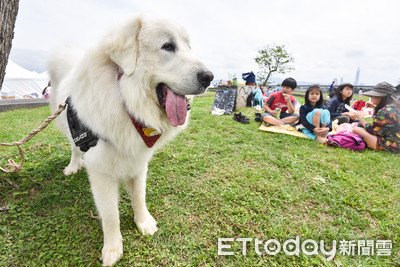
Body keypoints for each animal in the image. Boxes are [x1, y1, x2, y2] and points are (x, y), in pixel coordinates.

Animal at [47, 15, 212, 266]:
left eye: (188, 47)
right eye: (168, 46)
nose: (209, 77)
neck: (126, 101)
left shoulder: (138, 163)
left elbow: (139, 197)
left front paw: (143, 222)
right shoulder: (102, 172)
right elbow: (110, 215)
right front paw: (113, 248)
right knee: (75, 148)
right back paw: (73, 165)